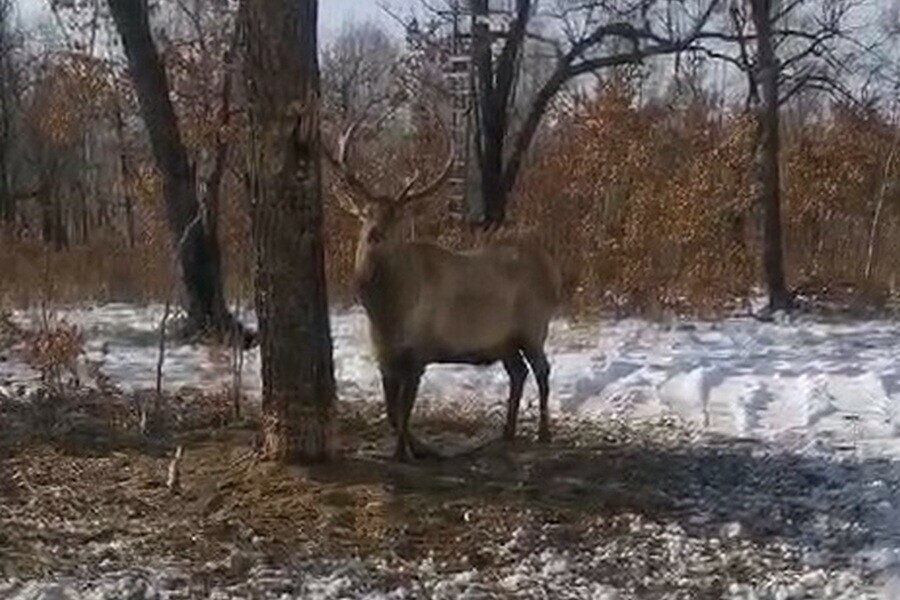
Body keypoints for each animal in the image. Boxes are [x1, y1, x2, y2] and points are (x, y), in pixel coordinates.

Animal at [324, 101, 564, 462]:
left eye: (398, 215)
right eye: (365, 213)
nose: (375, 234)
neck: (387, 311)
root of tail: (551, 268)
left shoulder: (418, 354)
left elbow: (405, 411)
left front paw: (404, 453)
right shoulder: (384, 357)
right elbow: (392, 412)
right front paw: (416, 449)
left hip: (534, 326)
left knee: (543, 371)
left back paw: (544, 433)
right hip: (502, 339)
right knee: (518, 372)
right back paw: (507, 432)